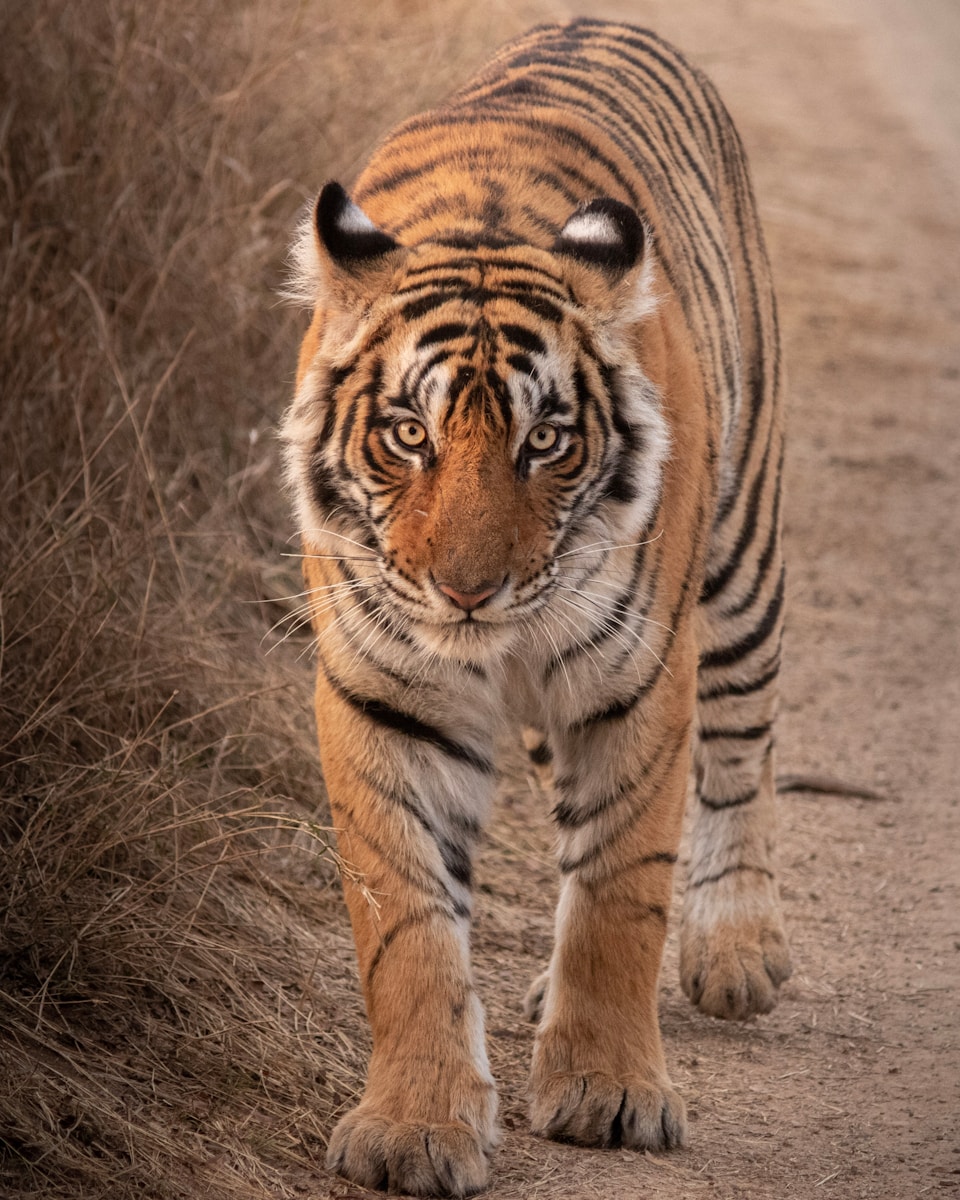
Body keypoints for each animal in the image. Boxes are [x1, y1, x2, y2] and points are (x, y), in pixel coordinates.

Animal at [282, 18, 791, 1197]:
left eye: (546, 441)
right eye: (408, 435)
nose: (468, 590)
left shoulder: (637, 680)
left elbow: (618, 891)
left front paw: (608, 1091)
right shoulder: (386, 694)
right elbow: (407, 924)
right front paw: (414, 1127)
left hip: (742, 556)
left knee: (742, 744)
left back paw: (737, 945)